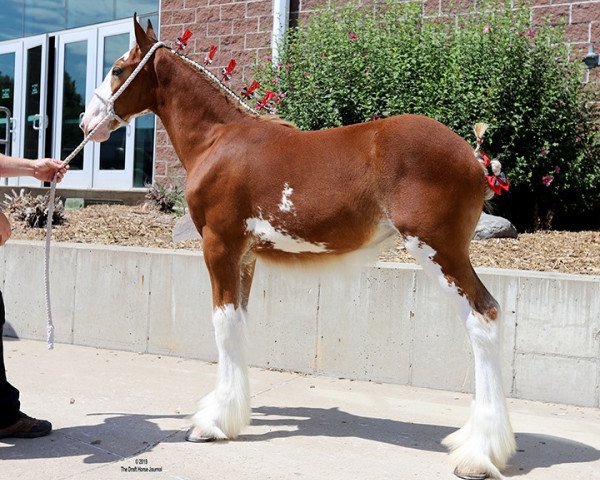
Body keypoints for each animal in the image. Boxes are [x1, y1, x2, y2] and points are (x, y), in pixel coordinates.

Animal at [81, 16, 516, 478]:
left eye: (118, 69)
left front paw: (211, 424)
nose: (85, 124)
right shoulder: (245, 255)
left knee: (483, 317)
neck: (217, 141)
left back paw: (479, 453)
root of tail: (474, 158)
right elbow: (239, 323)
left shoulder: (219, 244)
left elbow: (223, 325)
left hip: (438, 249)